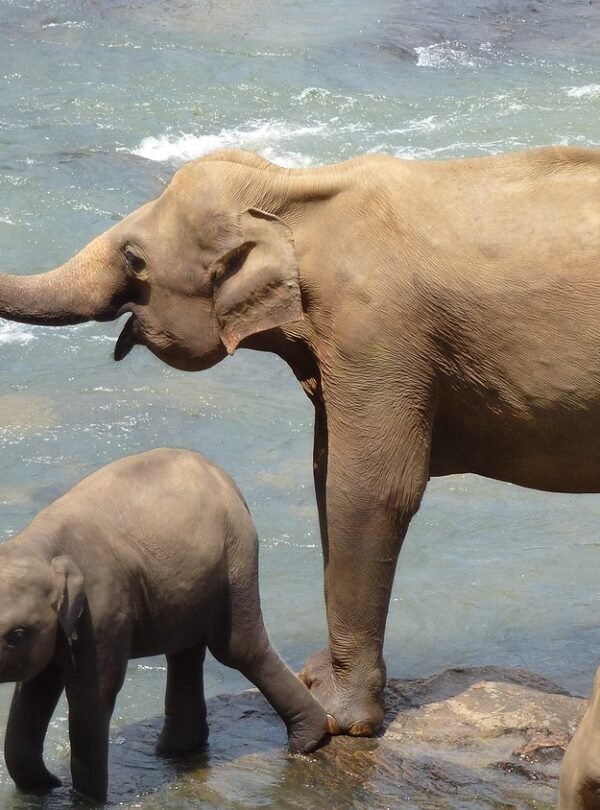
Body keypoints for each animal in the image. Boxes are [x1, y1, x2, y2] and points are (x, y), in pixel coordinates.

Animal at [0, 144, 599, 737]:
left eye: (133, 259)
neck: (293, 191)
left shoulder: (377, 334)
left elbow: (370, 490)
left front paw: (340, 717)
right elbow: (323, 472)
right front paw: (317, 682)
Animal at [0, 448, 330, 802]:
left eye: (16, 634)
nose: (55, 783)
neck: (41, 545)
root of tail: (227, 480)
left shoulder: (103, 607)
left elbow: (91, 694)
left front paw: (84, 800)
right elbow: (34, 689)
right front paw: (44, 787)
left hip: (235, 559)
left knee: (237, 649)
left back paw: (307, 742)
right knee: (185, 652)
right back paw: (177, 751)